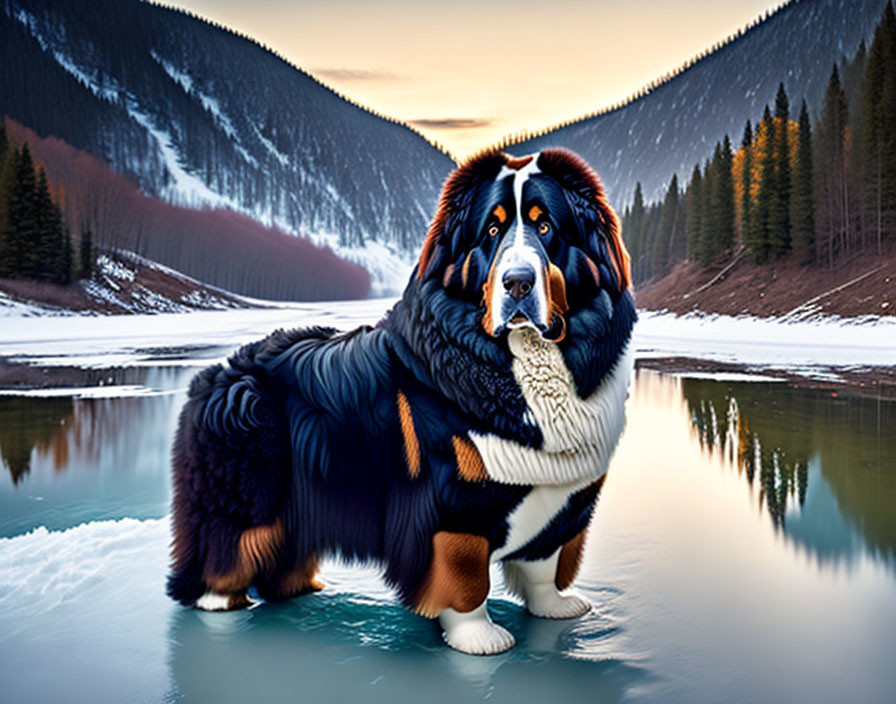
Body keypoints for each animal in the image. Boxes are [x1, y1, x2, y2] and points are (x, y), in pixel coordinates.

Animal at [166, 148, 636, 656]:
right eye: (491, 233)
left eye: (546, 226)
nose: (516, 283)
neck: (524, 363)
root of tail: (216, 374)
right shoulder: (452, 506)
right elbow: (466, 578)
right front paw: (480, 637)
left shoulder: (563, 504)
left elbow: (543, 565)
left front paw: (555, 607)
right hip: (245, 495)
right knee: (227, 542)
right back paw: (221, 601)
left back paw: (302, 590)